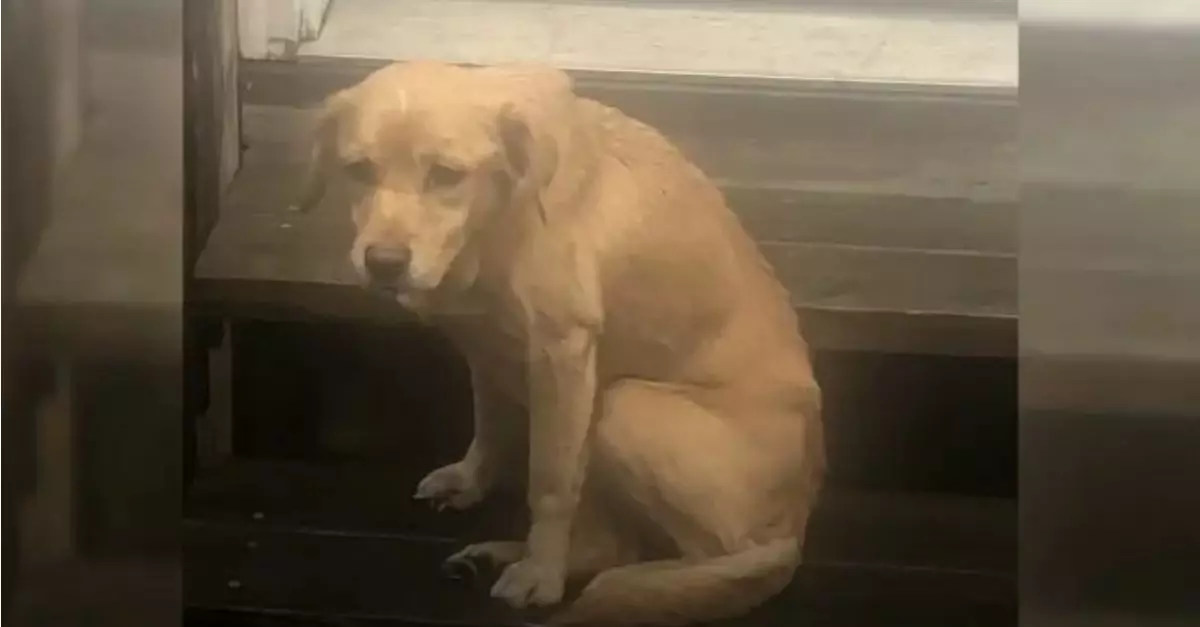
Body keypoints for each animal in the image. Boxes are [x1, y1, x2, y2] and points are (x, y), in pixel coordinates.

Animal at [297, 59, 825, 624]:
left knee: (703, 559)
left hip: (626, 407)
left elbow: (548, 484)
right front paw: (471, 480)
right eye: (358, 171)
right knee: (615, 543)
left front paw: (540, 576)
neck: (498, 217)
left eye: (446, 175)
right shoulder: (484, 344)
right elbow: (491, 426)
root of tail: (798, 523)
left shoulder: (561, 354)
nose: (383, 263)